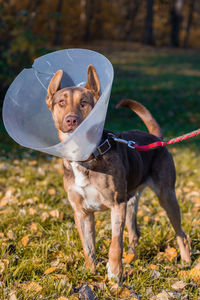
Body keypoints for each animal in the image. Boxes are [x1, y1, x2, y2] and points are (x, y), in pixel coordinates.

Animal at [45, 64, 191, 282]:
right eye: (61, 103)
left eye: (84, 103)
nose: (71, 120)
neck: (85, 156)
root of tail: (156, 138)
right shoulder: (82, 212)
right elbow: (88, 247)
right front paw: (91, 272)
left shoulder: (116, 205)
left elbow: (115, 244)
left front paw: (115, 273)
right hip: (131, 202)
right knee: (135, 233)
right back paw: (132, 258)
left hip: (166, 196)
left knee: (181, 233)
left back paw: (187, 263)